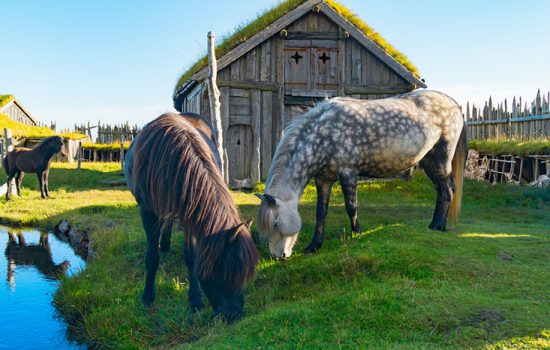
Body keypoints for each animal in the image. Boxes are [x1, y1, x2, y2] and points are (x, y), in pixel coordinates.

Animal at [126, 113, 260, 322]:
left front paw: (195, 299)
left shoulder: (191, 212)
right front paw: (148, 296)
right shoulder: (147, 210)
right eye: (225, 271)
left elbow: (191, 256)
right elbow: (152, 256)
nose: (234, 315)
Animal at [258, 89, 470, 260]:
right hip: (428, 161)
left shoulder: (348, 172)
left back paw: (439, 226)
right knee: (441, 191)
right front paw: (314, 245)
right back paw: (433, 224)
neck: (323, 134)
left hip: (441, 158)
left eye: (275, 223)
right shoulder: (323, 179)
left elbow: (351, 207)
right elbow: (321, 212)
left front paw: (357, 234)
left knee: (447, 190)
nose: (278, 256)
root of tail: (454, 104)